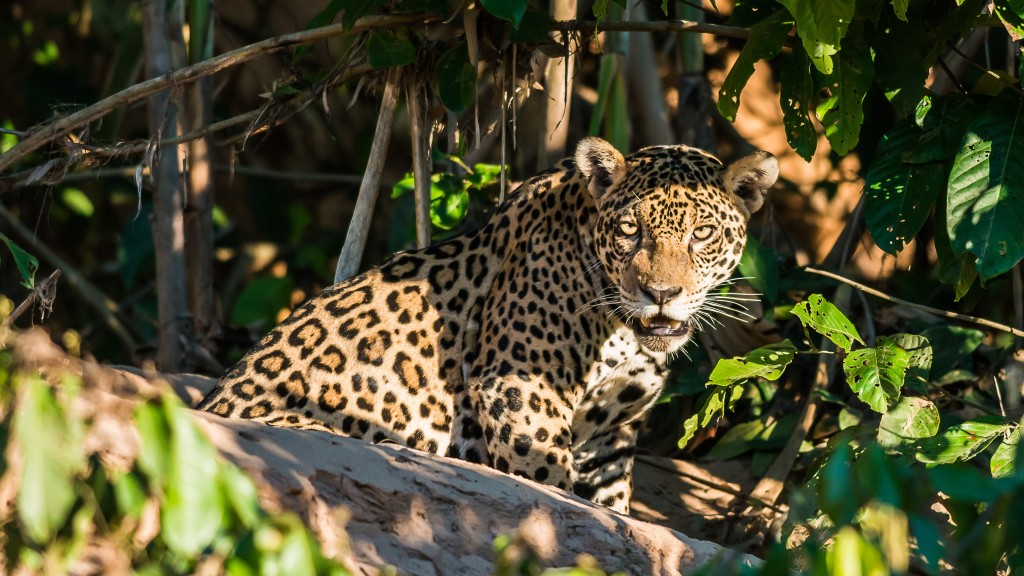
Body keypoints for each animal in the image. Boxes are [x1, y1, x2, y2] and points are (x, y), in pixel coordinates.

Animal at [198, 137, 778, 514]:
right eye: (630, 230)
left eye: (702, 234)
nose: (660, 295)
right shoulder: (520, 387)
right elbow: (548, 483)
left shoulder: (611, 434)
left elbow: (612, 512)